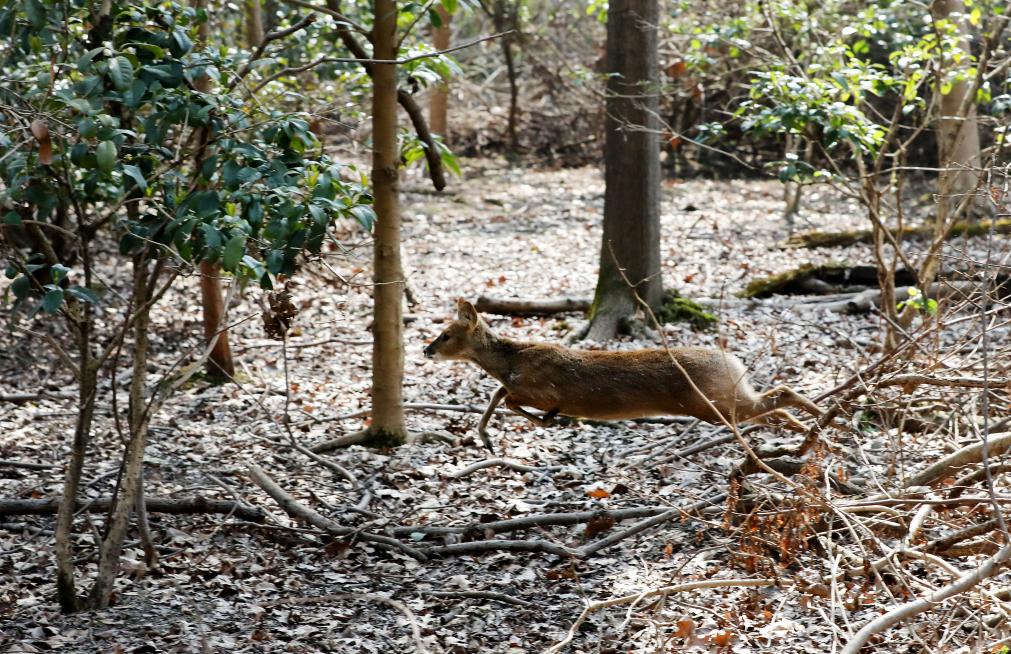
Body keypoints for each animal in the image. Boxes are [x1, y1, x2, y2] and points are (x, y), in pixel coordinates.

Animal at [424, 299, 820, 452]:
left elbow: (504, 396)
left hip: (713, 401)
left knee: (779, 397)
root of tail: (732, 359)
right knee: (777, 401)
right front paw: (489, 436)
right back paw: (815, 430)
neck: (512, 361)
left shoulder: (546, 389)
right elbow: (499, 394)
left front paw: (533, 423)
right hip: (725, 397)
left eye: (446, 334)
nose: (426, 349)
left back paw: (818, 423)